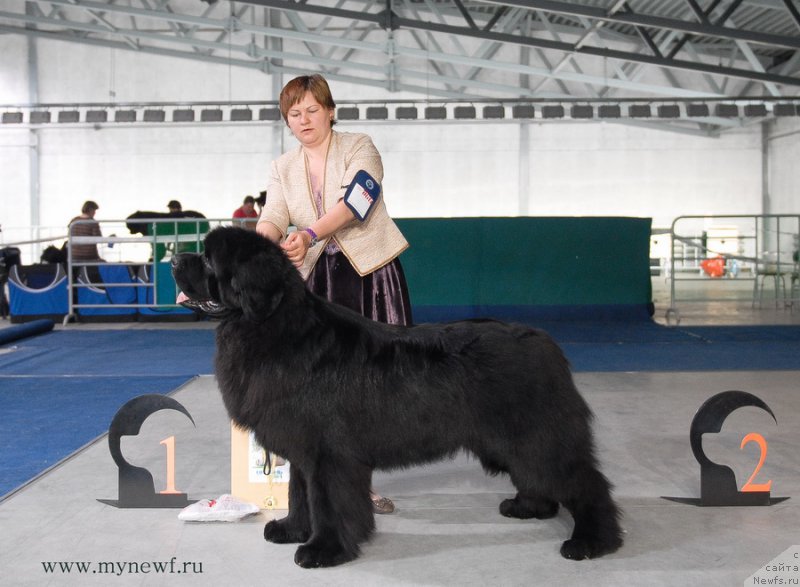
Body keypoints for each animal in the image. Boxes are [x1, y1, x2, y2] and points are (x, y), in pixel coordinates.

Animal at [173, 227, 624, 568]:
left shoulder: (329, 454)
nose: (175, 259)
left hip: (537, 436)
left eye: (209, 260)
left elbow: (326, 502)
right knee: (539, 477)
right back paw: (529, 507)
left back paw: (592, 542)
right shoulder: (302, 448)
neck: (272, 326)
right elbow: (299, 494)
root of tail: (545, 342)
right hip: (513, 440)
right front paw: (291, 530)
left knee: (586, 483)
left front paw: (323, 550)